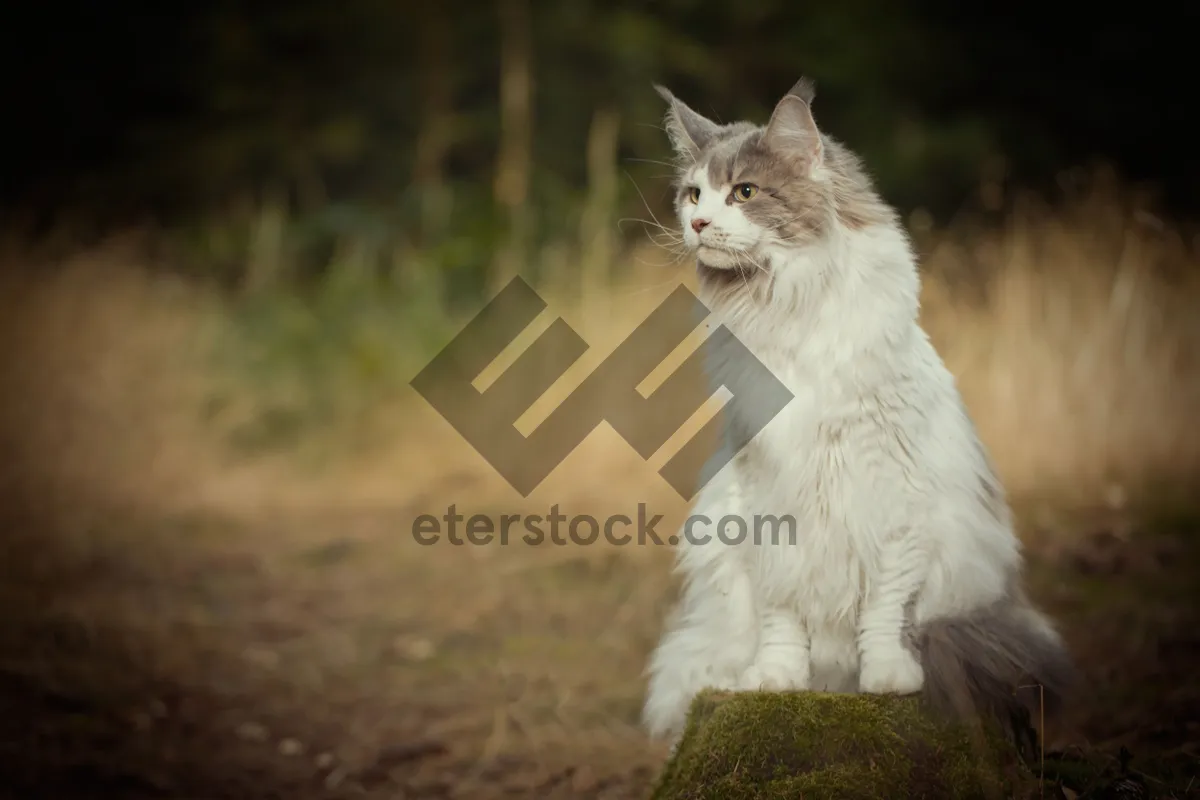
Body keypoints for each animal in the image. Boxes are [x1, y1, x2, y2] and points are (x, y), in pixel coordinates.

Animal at [643, 77, 1075, 748]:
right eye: (693, 194)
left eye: (745, 192)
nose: (698, 222)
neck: (781, 308)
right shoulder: (765, 494)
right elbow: (782, 610)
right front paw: (776, 679)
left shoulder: (893, 496)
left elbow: (885, 608)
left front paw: (888, 678)